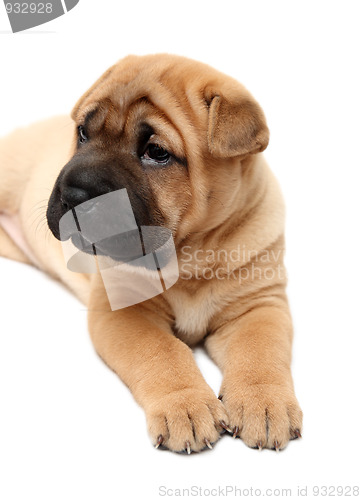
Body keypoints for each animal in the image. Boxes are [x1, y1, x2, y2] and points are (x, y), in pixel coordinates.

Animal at [0, 54, 300, 454]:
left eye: (156, 152)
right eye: (83, 133)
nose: (75, 195)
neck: (191, 255)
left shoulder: (259, 304)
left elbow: (261, 351)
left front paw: (264, 403)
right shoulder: (125, 310)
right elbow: (162, 352)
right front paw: (186, 406)